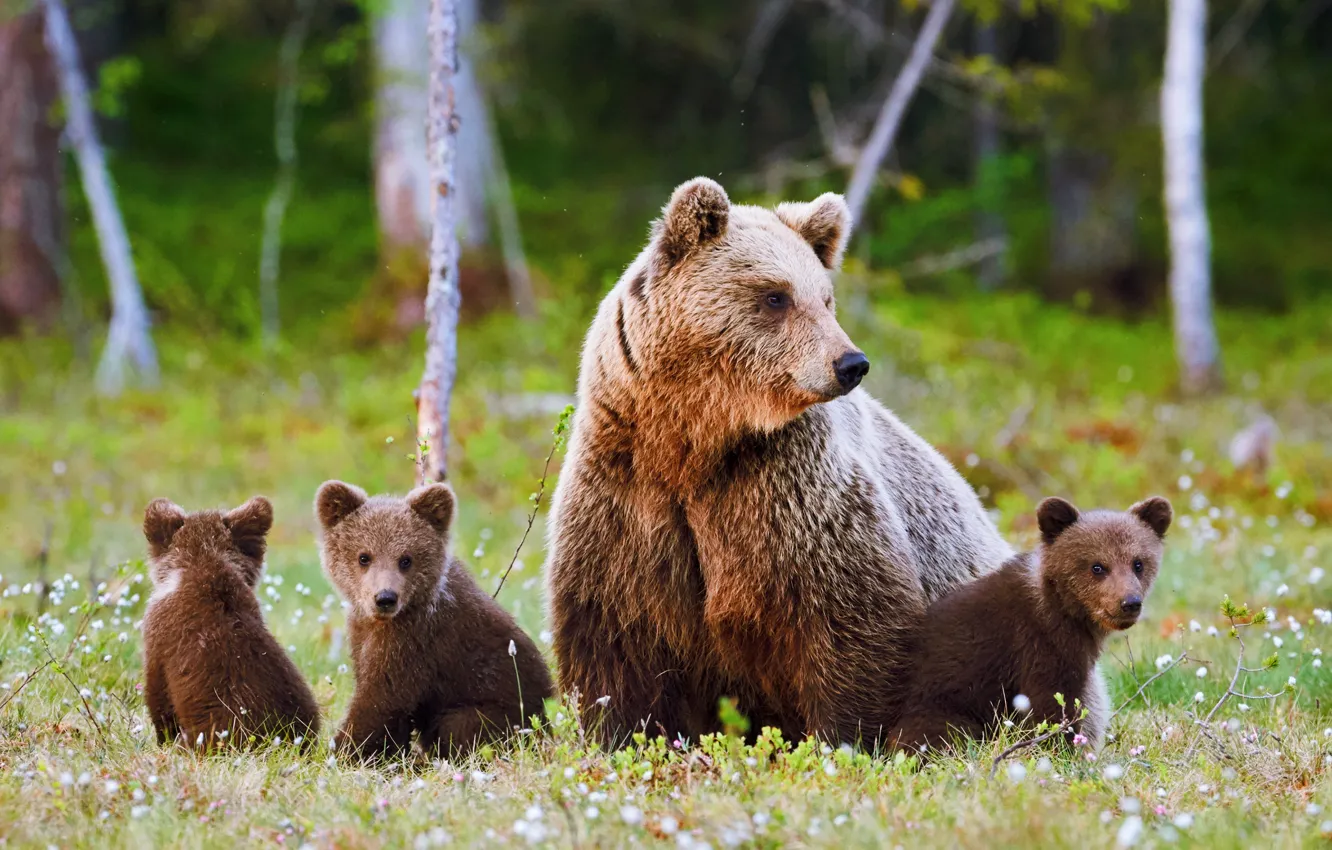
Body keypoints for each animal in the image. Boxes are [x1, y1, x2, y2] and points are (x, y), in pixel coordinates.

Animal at [316, 480, 554, 759]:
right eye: (364, 556)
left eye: (405, 559)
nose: (385, 598)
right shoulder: (363, 633)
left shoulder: (413, 642)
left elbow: (381, 700)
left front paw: (341, 751)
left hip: (501, 709)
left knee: (461, 726)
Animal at [544, 176, 1014, 747]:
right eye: (776, 295)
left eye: (826, 298)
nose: (851, 363)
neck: (694, 440)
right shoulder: (626, 493)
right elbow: (615, 636)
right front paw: (623, 734)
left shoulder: (789, 491)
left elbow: (852, 617)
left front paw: (846, 738)